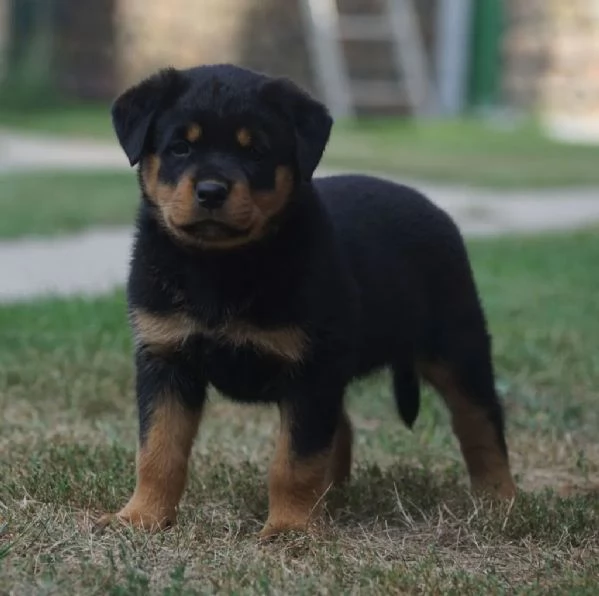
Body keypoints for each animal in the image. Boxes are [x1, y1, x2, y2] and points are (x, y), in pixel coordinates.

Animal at [98, 65, 516, 540]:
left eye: (256, 151)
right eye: (179, 147)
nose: (211, 191)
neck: (221, 267)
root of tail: (437, 211)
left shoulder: (310, 370)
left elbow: (294, 460)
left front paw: (289, 529)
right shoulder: (166, 358)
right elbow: (158, 449)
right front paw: (141, 517)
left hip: (458, 344)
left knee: (480, 421)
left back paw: (499, 500)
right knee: (342, 427)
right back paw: (331, 497)